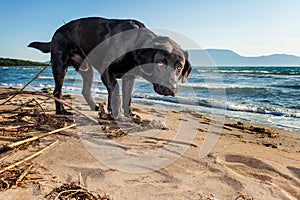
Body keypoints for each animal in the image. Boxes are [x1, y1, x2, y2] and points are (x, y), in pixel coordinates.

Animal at [28, 17, 192, 118]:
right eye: (160, 62)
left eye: (179, 67)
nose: (171, 89)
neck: (134, 43)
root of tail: (55, 34)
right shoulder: (107, 71)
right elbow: (115, 90)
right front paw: (114, 111)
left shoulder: (129, 78)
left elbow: (128, 97)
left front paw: (127, 114)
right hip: (60, 67)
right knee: (57, 91)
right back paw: (61, 111)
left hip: (87, 70)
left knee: (85, 91)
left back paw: (95, 108)